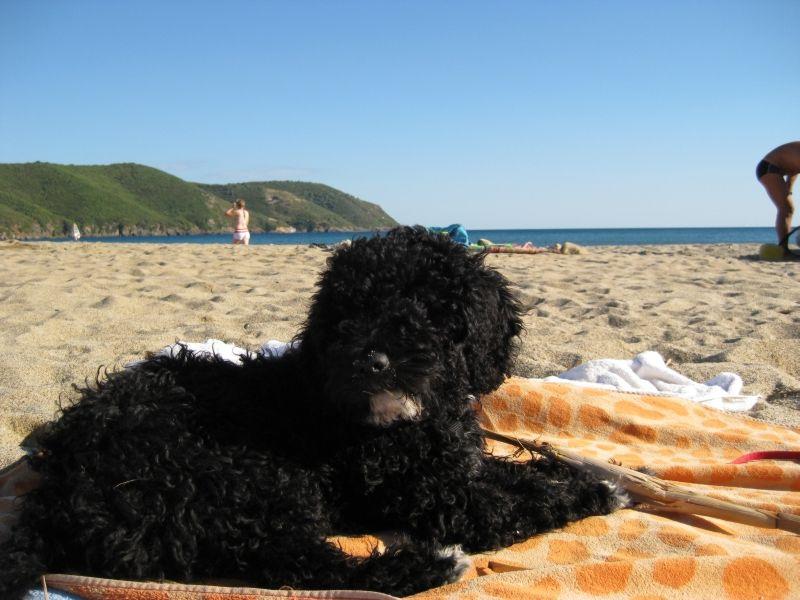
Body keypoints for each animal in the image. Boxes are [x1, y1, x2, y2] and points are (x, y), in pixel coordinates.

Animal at [1, 226, 627, 597]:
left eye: (431, 307)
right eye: (348, 309)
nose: (371, 359)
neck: (415, 420)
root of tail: (57, 493)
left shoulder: (454, 469)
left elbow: (512, 473)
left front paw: (581, 478)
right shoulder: (438, 499)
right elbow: (512, 507)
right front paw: (593, 494)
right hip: (245, 477)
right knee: (296, 565)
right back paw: (426, 567)